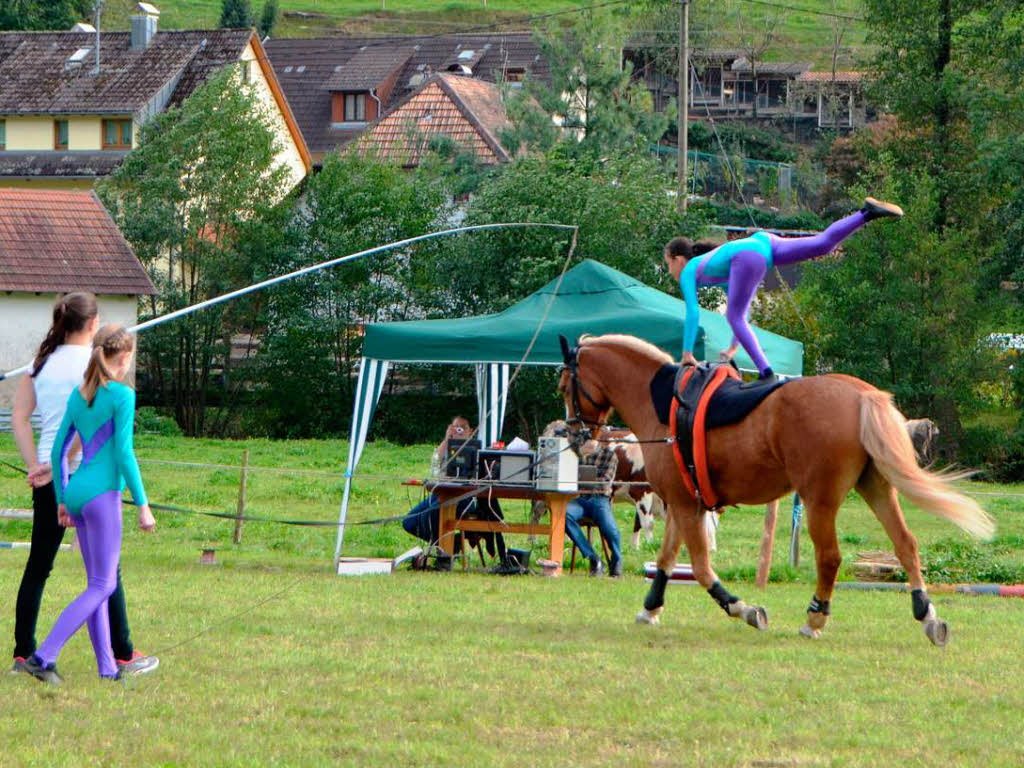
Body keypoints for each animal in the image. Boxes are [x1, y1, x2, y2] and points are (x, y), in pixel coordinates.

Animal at [561, 333, 991, 647]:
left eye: (566, 385)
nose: (576, 435)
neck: (664, 404)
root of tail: (860, 394)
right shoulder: (684, 504)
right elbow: (667, 560)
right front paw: (650, 609)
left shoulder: (683, 506)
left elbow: (699, 567)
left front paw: (743, 608)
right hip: (877, 488)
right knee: (906, 544)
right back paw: (927, 615)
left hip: (820, 500)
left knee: (830, 558)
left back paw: (815, 618)